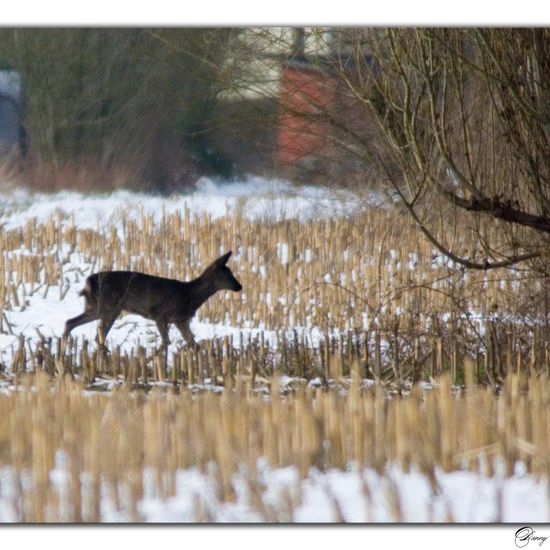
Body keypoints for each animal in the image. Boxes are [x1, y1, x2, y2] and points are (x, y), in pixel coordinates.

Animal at [62, 251, 242, 352]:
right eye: (227, 274)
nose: (239, 286)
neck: (190, 295)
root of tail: (88, 283)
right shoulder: (160, 314)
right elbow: (166, 342)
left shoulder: (180, 320)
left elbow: (192, 343)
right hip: (107, 306)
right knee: (97, 330)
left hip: (100, 308)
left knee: (72, 322)